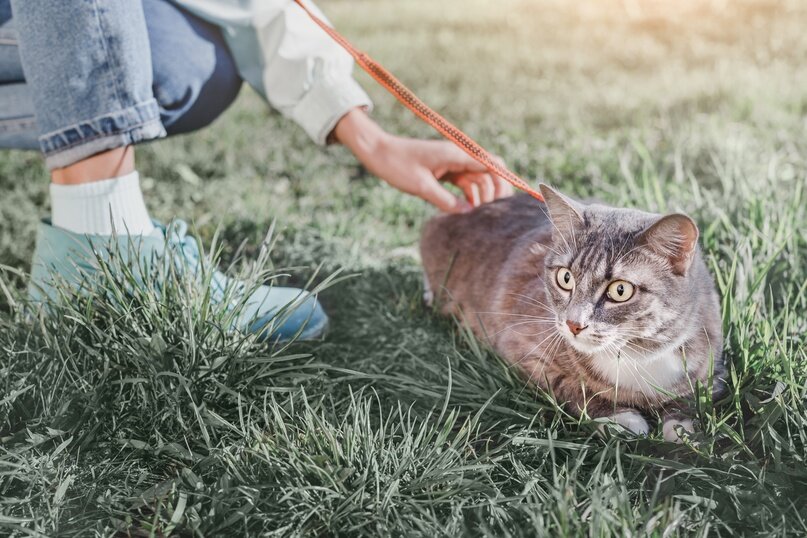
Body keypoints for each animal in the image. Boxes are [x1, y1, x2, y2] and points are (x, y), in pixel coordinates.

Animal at [422, 184, 724, 440]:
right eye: (565, 278)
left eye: (620, 290)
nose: (573, 324)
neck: (634, 354)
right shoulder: (519, 345)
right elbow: (568, 385)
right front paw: (619, 417)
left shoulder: (707, 358)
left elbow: (692, 395)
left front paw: (683, 428)